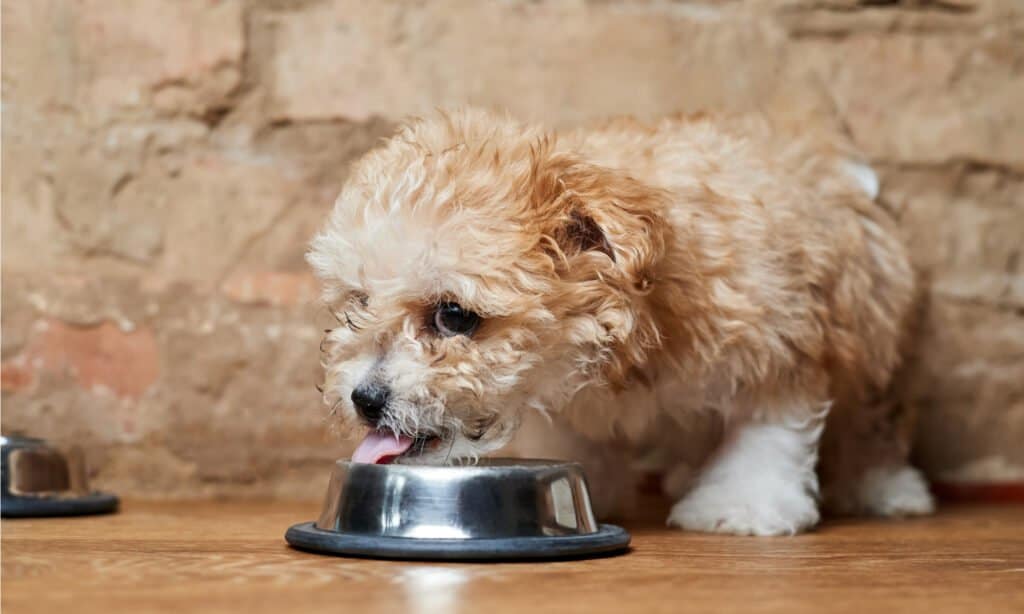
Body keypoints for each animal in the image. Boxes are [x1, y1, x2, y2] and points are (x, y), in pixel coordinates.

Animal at [305, 107, 937, 536]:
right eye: (359, 301)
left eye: (455, 316)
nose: (365, 399)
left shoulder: (780, 345)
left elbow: (766, 435)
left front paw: (742, 507)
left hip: (880, 338)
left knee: (875, 419)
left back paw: (888, 488)